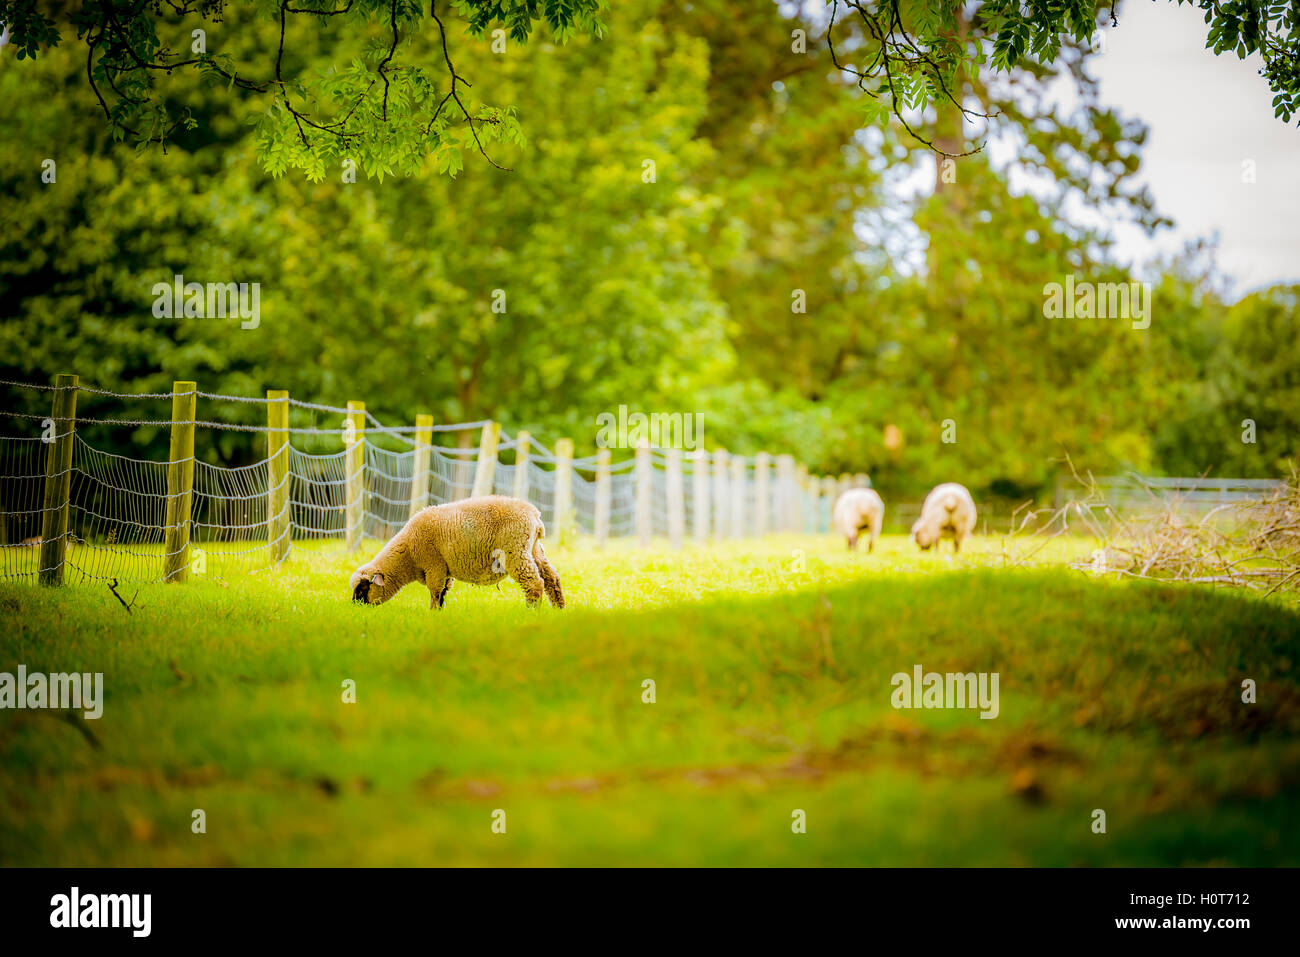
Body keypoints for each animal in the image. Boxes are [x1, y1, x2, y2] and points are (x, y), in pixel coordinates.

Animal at [351, 496, 564, 608]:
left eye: (363, 588)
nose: (354, 607)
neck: (407, 554)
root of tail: (535, 516)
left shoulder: (434, 565)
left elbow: (435, 592)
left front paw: (432, 613)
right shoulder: (444, 570)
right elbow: (443, 592)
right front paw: (439, 612)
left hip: (515, 550)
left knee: (534, 582)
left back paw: (532, 610)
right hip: (534, 549)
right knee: (551, 578)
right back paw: (558, 609)